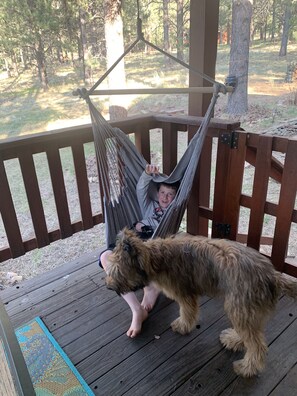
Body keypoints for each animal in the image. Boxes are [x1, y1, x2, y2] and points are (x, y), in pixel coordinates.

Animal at [105, 227, 296, 376]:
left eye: (116, 271)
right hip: (247, 311)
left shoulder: (184, 293)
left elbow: (186, 311)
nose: (108, 286)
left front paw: (182, 326)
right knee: (250, 334)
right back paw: (234, 339)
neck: (156, 258)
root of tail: (273, 276)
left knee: (257, 346)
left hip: (240, 307)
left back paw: (247, 368)